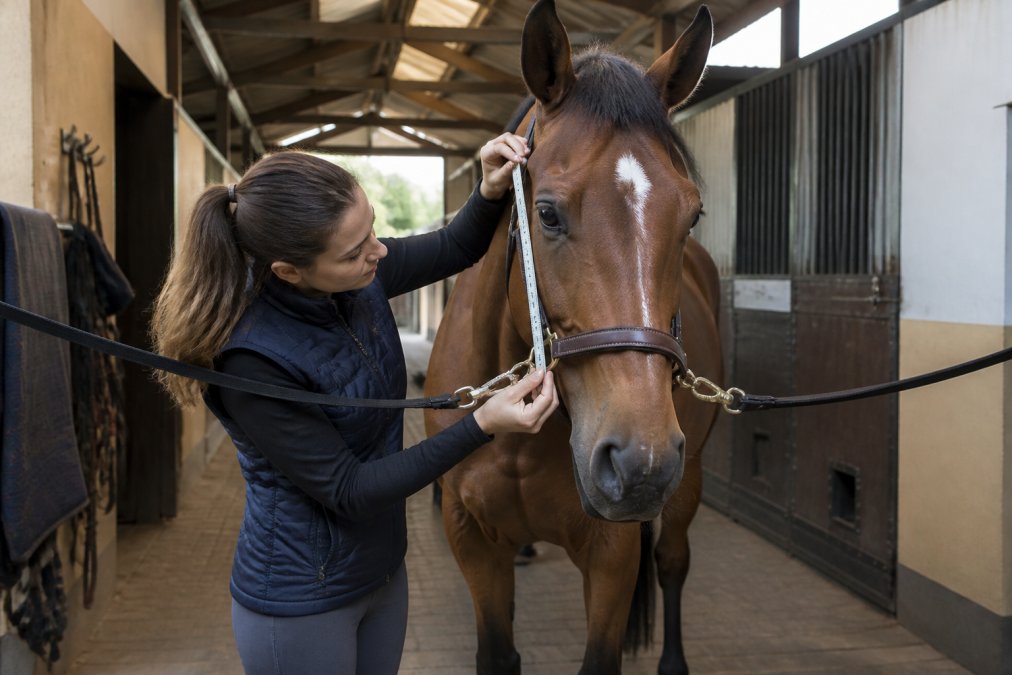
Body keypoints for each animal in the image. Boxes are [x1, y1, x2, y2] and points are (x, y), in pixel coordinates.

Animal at [424, 2, 721, 673]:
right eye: (548, 213)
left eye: (691, 215)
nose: (639, 462)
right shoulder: (471, 538)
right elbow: (498, 650)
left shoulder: (611, 552)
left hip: (688, 478)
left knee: (673, 562)